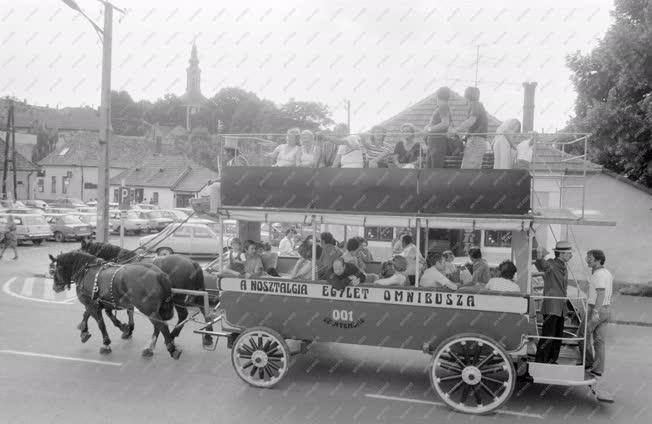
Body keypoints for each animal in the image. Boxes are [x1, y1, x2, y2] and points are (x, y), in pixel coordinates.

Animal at [49, 250, 182, 360]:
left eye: (55, 269)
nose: (55, 287)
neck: (86, 272)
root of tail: (158, 274)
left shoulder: (92, 304)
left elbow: (100, 324)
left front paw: (105, 343)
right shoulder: (99, 303)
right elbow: (90, 314)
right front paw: (84, 330)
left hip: (149, 310)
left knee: (162, 326)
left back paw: (171, 349)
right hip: (156, 309)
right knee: (158, 327)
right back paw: (150, 348)